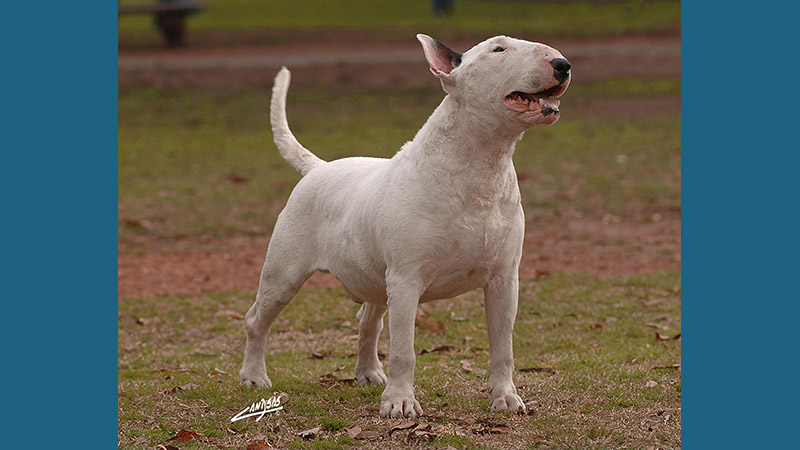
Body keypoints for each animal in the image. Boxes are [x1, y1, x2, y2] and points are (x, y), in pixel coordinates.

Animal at [238, 34, 568, 418]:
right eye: (498, 49)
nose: (563, 65)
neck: (478, 165)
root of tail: (318, 168)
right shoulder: (406, 280)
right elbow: (403, 351)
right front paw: (400, 402)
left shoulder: (504, 279)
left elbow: (503, 347)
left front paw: (506, 398)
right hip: (284, 273)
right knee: (257, 319)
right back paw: (253, 377)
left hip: (374, 279)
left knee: (367, 321)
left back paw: (368, 372)